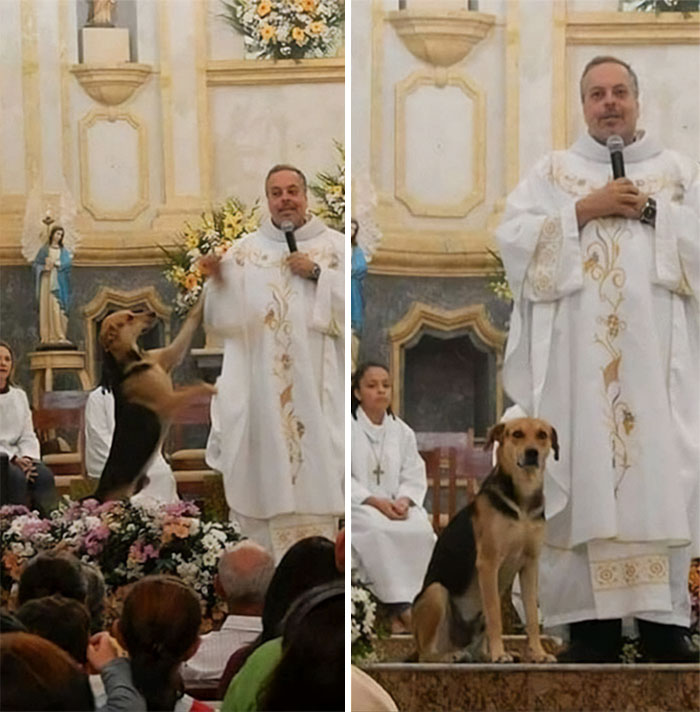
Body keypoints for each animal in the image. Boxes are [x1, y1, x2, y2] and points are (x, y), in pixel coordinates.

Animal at [91, 298, 215, 504]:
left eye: (132, 313)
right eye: (129, 317)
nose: (152, 313)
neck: (136, 361)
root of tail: (97, 493)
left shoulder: (171, 354)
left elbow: (191, 319)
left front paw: (201, 298)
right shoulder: (167, 403)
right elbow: (195, 389)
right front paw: (212, 387)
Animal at [416, 418, 556, 660]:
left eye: (542, 435)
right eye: (516, 434)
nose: (532, 453)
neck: (522, 502)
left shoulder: (530, 565)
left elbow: (531, 614)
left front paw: (538, 653)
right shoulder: (489, 563)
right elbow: (495, 616)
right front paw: (499, 654)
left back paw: (483, 654)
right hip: (436, 592)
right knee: (425, 655)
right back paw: (450, 656)